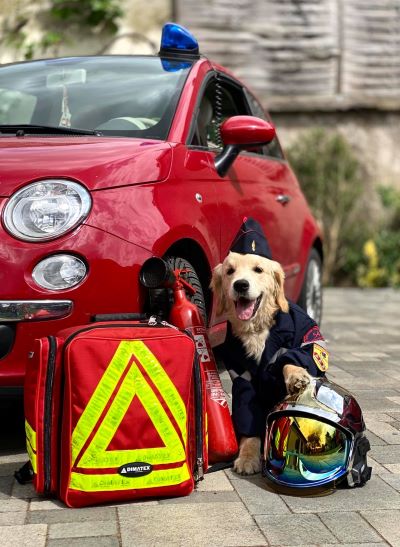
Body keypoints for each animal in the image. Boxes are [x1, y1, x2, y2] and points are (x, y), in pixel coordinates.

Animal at [209, 253, 312, 476]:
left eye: (258, 269)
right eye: (230, 271)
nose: (240, 285)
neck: (256, 329)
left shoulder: (306, 341)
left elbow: (290, 358)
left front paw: (296, 376)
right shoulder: (242, 378)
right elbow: (249, 422)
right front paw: (248, 456)